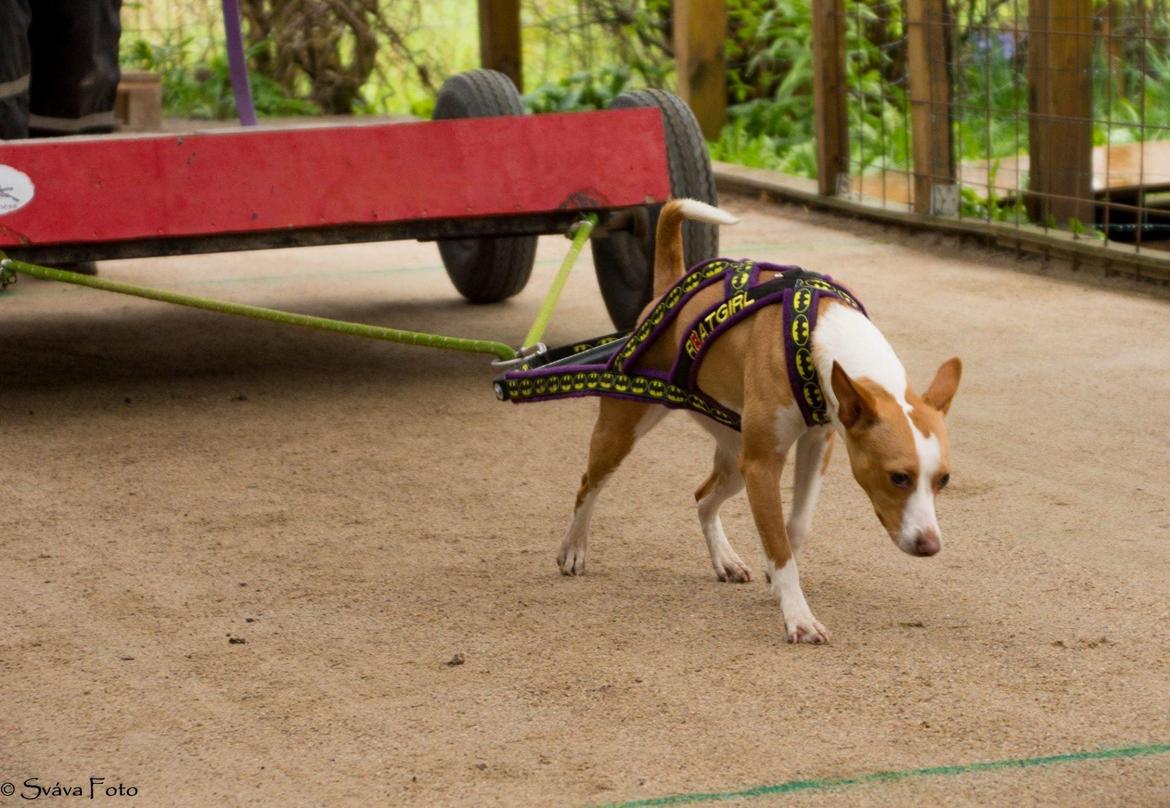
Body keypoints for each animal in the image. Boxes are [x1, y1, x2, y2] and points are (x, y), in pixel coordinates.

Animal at [556, 201, 959, 645]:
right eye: (898, 477)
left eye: (943, 480)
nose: (930, 546)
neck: (816, 333)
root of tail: (668, 287)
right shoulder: (763, 466)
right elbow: (778, 543)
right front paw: (798, 616)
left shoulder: (817, 445)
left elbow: (793, 528)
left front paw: (780, 583)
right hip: (623, 431)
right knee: (589, 485)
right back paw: (573, 549)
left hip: (736, 459)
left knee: (702, 497)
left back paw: (725, 559)